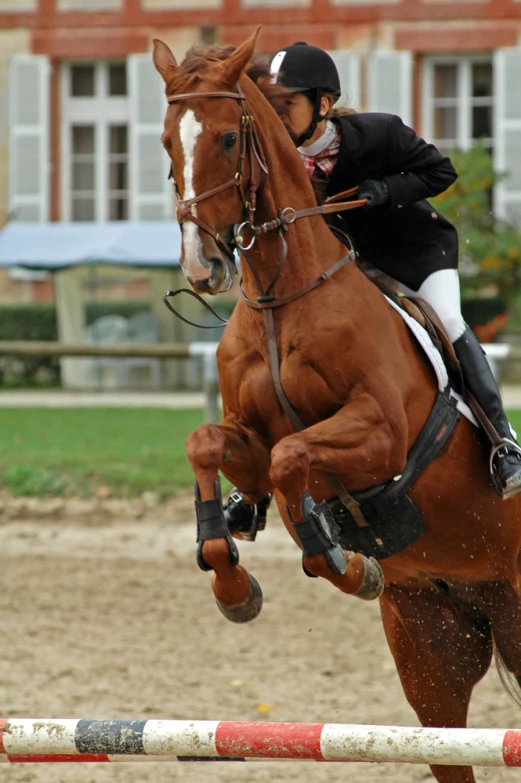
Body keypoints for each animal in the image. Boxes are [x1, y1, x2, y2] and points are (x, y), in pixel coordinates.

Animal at [152, 30, 520, 783]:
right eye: (167, 142)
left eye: (229, 138)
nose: (203, 265)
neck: (281, 295)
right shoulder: (249, 436)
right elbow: (213, 445)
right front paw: (235, 584)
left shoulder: (380, 436)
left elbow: (297, 456)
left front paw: (342, 556)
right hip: (432, 648)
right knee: (448, 739)